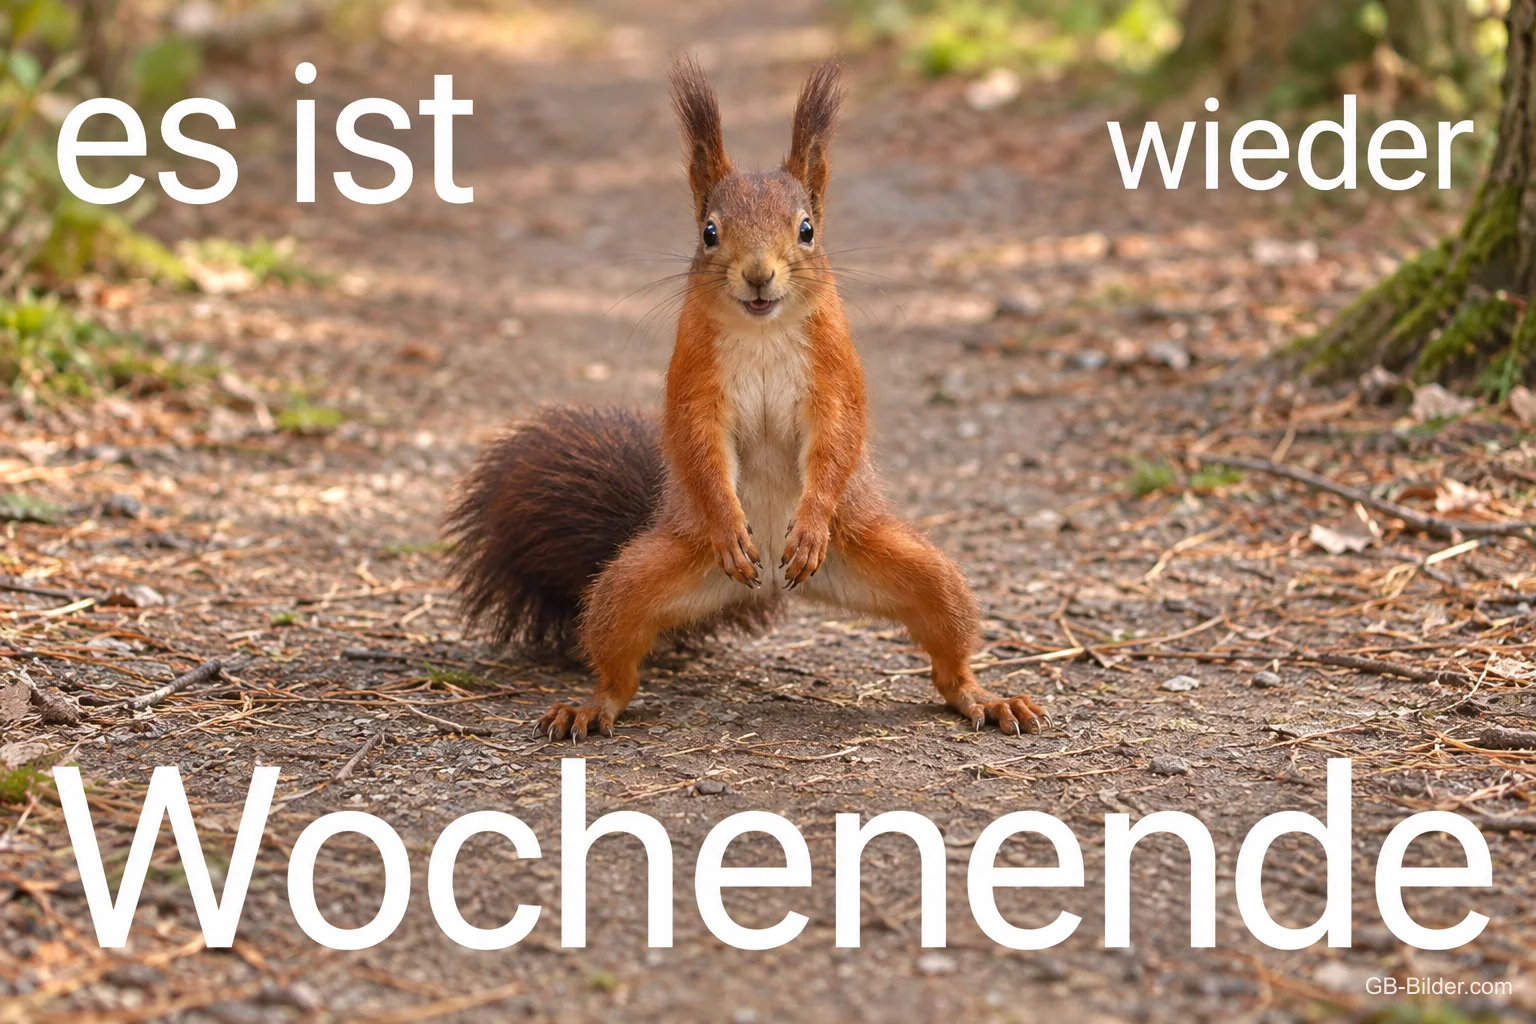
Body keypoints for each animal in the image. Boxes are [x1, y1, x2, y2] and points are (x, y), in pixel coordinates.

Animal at [444, 57, 1047, 741]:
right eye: (709, 232)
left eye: (807, 230)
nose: (758, 274)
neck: (762, 330)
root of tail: (768, 593)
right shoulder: (694, 380)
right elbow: (700, 447)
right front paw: (731, 525)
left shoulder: (835, 375)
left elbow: (838, 439)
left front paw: (808, 523)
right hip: (646, 575)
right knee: (617, 651)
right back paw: (594, 704)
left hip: (891, 558)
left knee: (947, 634)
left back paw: (984, 697)